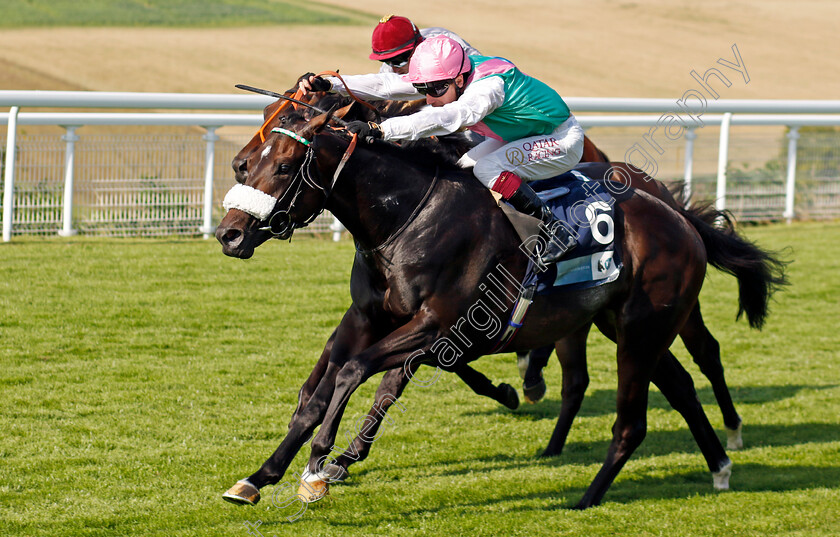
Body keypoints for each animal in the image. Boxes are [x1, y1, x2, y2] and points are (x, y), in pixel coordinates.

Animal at [213, 107, 784, 508]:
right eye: (246, 163)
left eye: (284, 165)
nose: (229, 234)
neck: (408, 219)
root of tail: (681, 219)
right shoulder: (367, 318)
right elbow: (317, 392)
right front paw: (259, 477)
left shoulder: (438, 326)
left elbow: (355, 372)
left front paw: (319, 466)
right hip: (626, 326)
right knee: (681, 386)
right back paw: (718, 466)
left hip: (644, 330)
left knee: (638, 418)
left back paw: (587, 498)